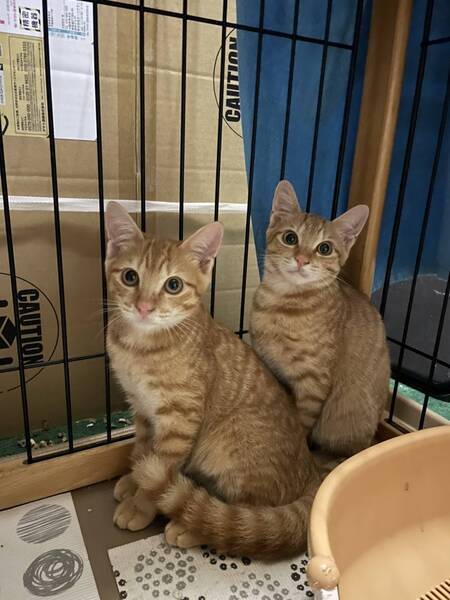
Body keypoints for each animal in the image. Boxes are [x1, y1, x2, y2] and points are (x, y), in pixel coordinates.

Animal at [105, 201, 319, 559]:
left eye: (173, 285)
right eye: (130, 277)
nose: (144, 307)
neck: (141, 348)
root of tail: (310, 473)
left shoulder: (179, 419)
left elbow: (160, 464)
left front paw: (141, 505)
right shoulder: (142, 410)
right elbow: (141, 450)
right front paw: (134, 480)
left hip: (233, 448)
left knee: (246, 521)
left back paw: (193, 526)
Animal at [250, 180, 390, 461]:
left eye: (324, 248)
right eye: (290, 238)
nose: (301, 259)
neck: (282, 302)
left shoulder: (313, 382)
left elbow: (301, 423)